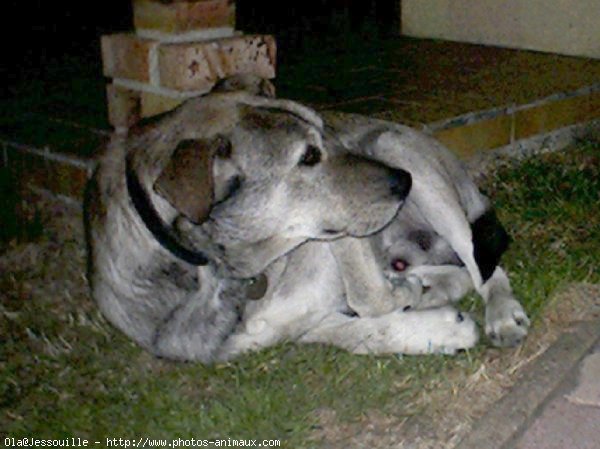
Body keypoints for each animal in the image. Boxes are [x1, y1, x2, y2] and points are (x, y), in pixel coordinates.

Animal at [86, 79, 528, 362]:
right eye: (309, 156)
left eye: (327, 132)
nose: (403, 182)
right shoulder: (274, 329)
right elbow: (356, 331)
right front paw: (431, 321)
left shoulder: (341, 233)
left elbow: (368, 296)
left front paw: (411, 299)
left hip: (399, 150)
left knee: (483, 264)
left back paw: (501, 313)